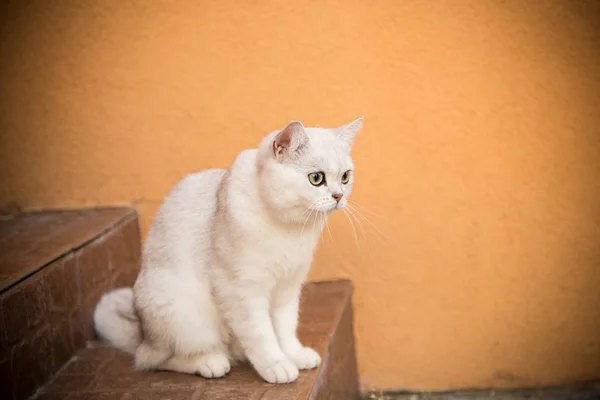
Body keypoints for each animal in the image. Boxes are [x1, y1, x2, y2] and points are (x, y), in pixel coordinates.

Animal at [94, 119, 364, 384]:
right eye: (316, 178)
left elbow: (285, 329)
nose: (338, 196)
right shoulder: (240, 290)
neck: (290, 229)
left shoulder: (287, 289)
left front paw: (294, 355)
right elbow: (261, 334)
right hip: (187, 317)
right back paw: (210, 362)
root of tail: (143, 335)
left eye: (345, 177)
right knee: (154, 360)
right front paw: (276, 365)